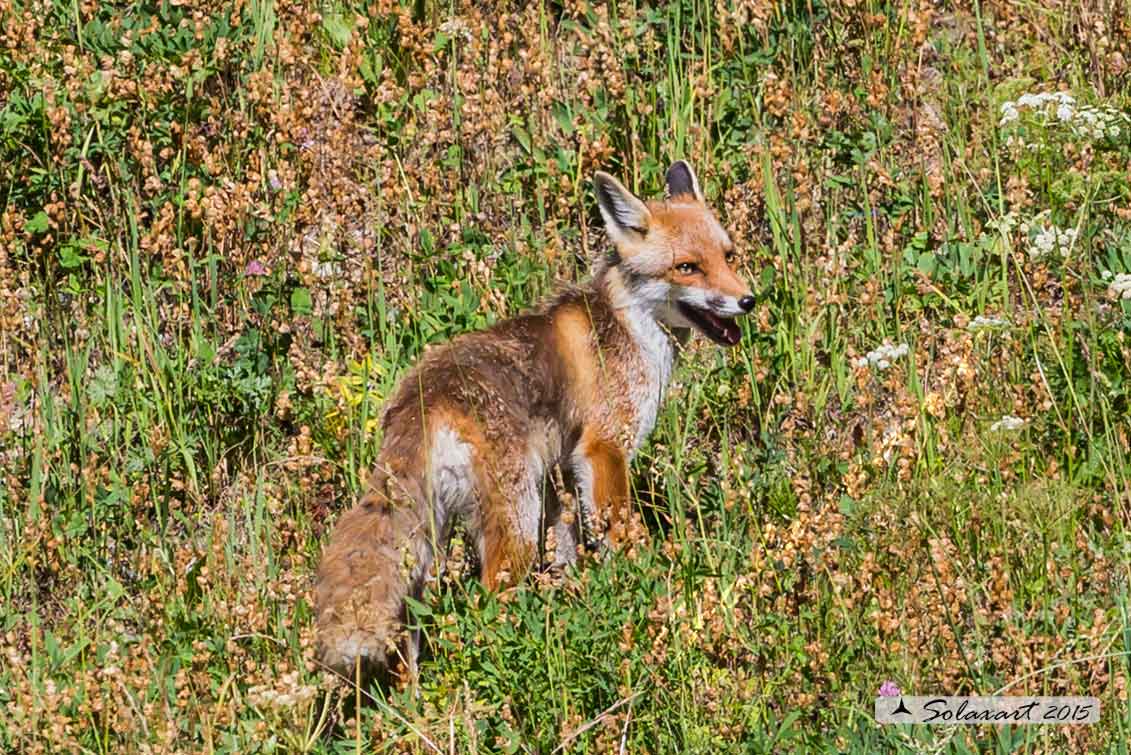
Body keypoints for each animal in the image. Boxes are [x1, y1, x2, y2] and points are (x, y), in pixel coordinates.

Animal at [314, 162, 755, 682]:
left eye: (728, 256)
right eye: (687, 267)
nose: (748, 301)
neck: (630, 327)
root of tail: (421, 396)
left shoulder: (563, 471)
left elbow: (568, 546)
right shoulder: (604, 448)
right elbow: (624, 535)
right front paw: (647, 586)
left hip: (427, 547)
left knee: (410, 637)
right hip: (516, 525)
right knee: (490, 600)